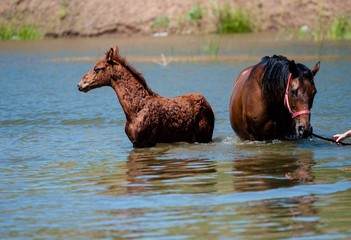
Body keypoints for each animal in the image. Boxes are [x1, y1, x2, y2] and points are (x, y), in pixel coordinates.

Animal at [77, 46, 214, 148]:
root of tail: (207, 103)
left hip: (204, 136)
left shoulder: (146, 142)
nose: (80, 84)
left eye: (96, 69)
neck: (133, 111)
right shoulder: (135, 143)